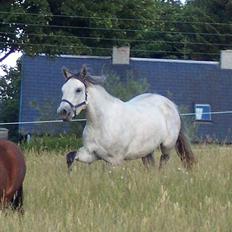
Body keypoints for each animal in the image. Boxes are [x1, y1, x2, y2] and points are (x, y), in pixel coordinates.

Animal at [57, 66, 196, 169]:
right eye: (63, 89)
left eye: (78, 89)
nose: (63, 112)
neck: (101, 123)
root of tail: (171, 104)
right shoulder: (91, 154)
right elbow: (70, 156)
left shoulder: (114, 160)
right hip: (147, 150)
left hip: (167, 146)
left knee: (163, 161)